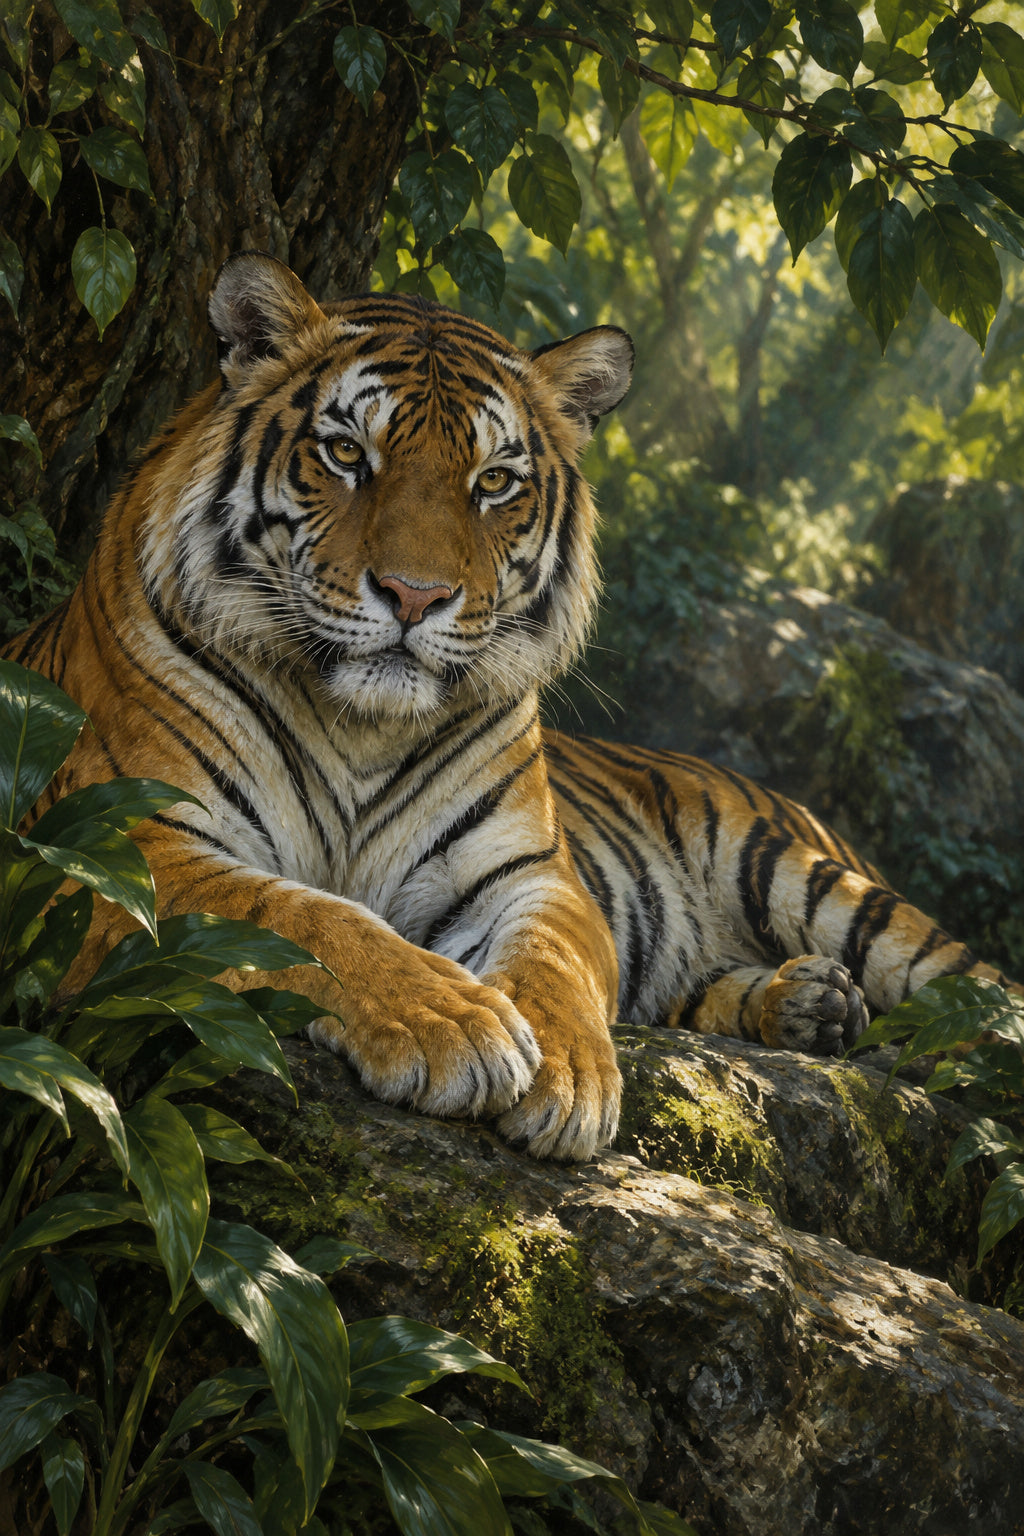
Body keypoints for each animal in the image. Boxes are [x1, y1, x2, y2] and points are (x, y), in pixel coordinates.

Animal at [7, 252, 1018, 1161]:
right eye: (347, 454)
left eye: (494, 480)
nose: (414, 595)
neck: (358, 727)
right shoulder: (114, 841)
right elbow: (306, 918)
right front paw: (450, 1022)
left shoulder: (531, 870)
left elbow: (554, 962)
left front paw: (567, 1079)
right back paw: (811, 1007)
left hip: (818, 883)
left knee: (981, 999)